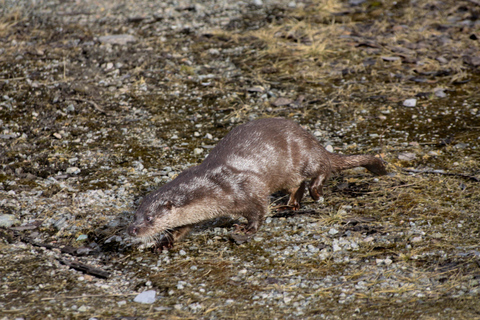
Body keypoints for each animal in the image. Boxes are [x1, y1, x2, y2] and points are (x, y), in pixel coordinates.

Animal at [127, 117, 386, 250]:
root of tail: (313, 140)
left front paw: (247, 229)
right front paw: (164, 242)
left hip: (306, 157)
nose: (132, 230)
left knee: (323, 169)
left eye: (149, 218)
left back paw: (315, 191)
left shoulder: (248, 187)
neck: (212, 188)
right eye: (135, 216)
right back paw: (289, 205)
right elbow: (182, 227)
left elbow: (258, 210)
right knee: (297, 185)